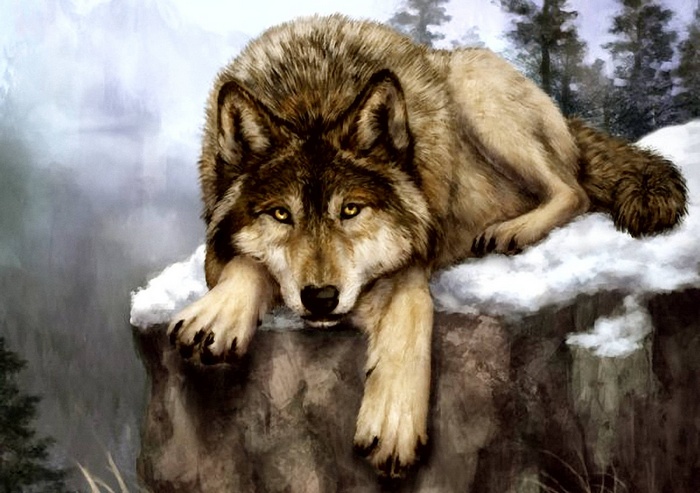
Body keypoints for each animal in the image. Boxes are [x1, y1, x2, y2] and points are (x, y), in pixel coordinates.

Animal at [167, 14, 687, 477]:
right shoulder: (221, 250)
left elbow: (412, 312)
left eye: (350, 210)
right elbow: (248, 264)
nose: (321, 298)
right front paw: (218, 314)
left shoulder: (416, 255)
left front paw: (394, 418)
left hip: (478, 90)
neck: (312, 97)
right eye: (280, 214)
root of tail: (570, 121)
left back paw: (513, 229)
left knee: (573, 190)